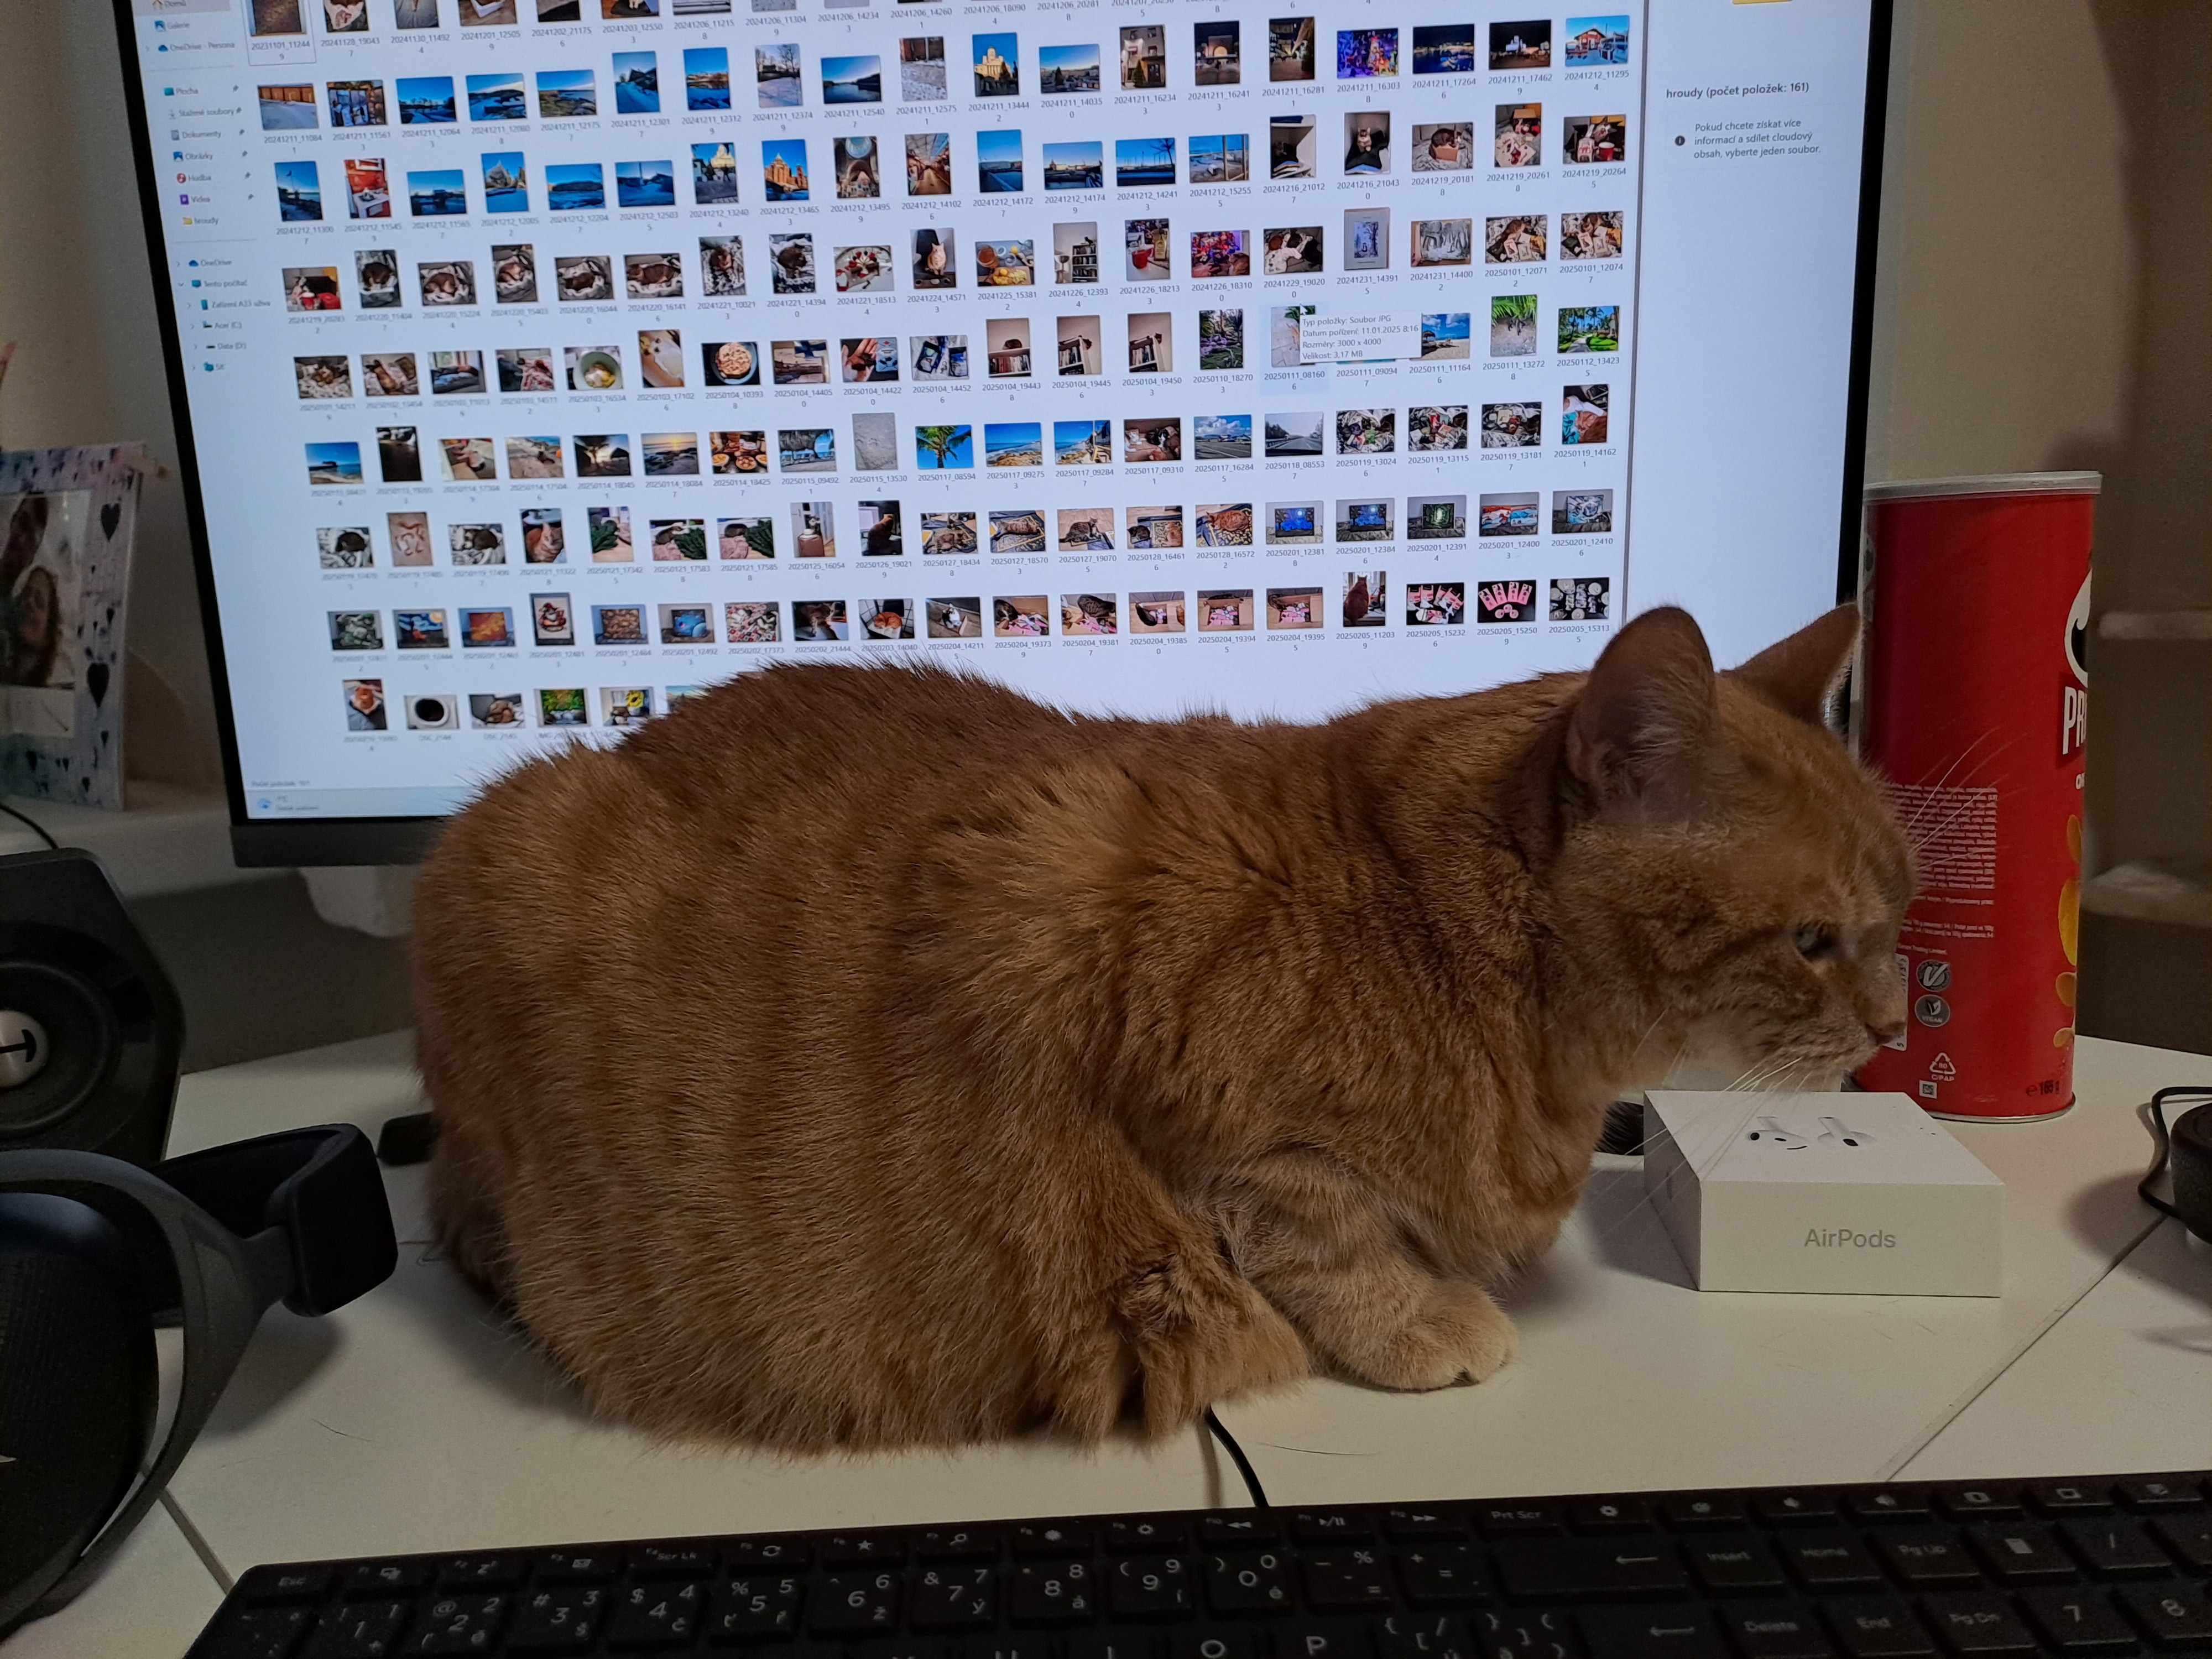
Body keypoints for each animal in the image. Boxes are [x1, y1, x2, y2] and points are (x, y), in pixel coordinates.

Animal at [413, 604, 1910, 1451]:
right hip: (497, 853)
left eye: (1896, 909)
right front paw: (1422, 1314)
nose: (1895, 1028)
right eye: (1811, 941)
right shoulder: (1124, 1032)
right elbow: (1319, 1238)